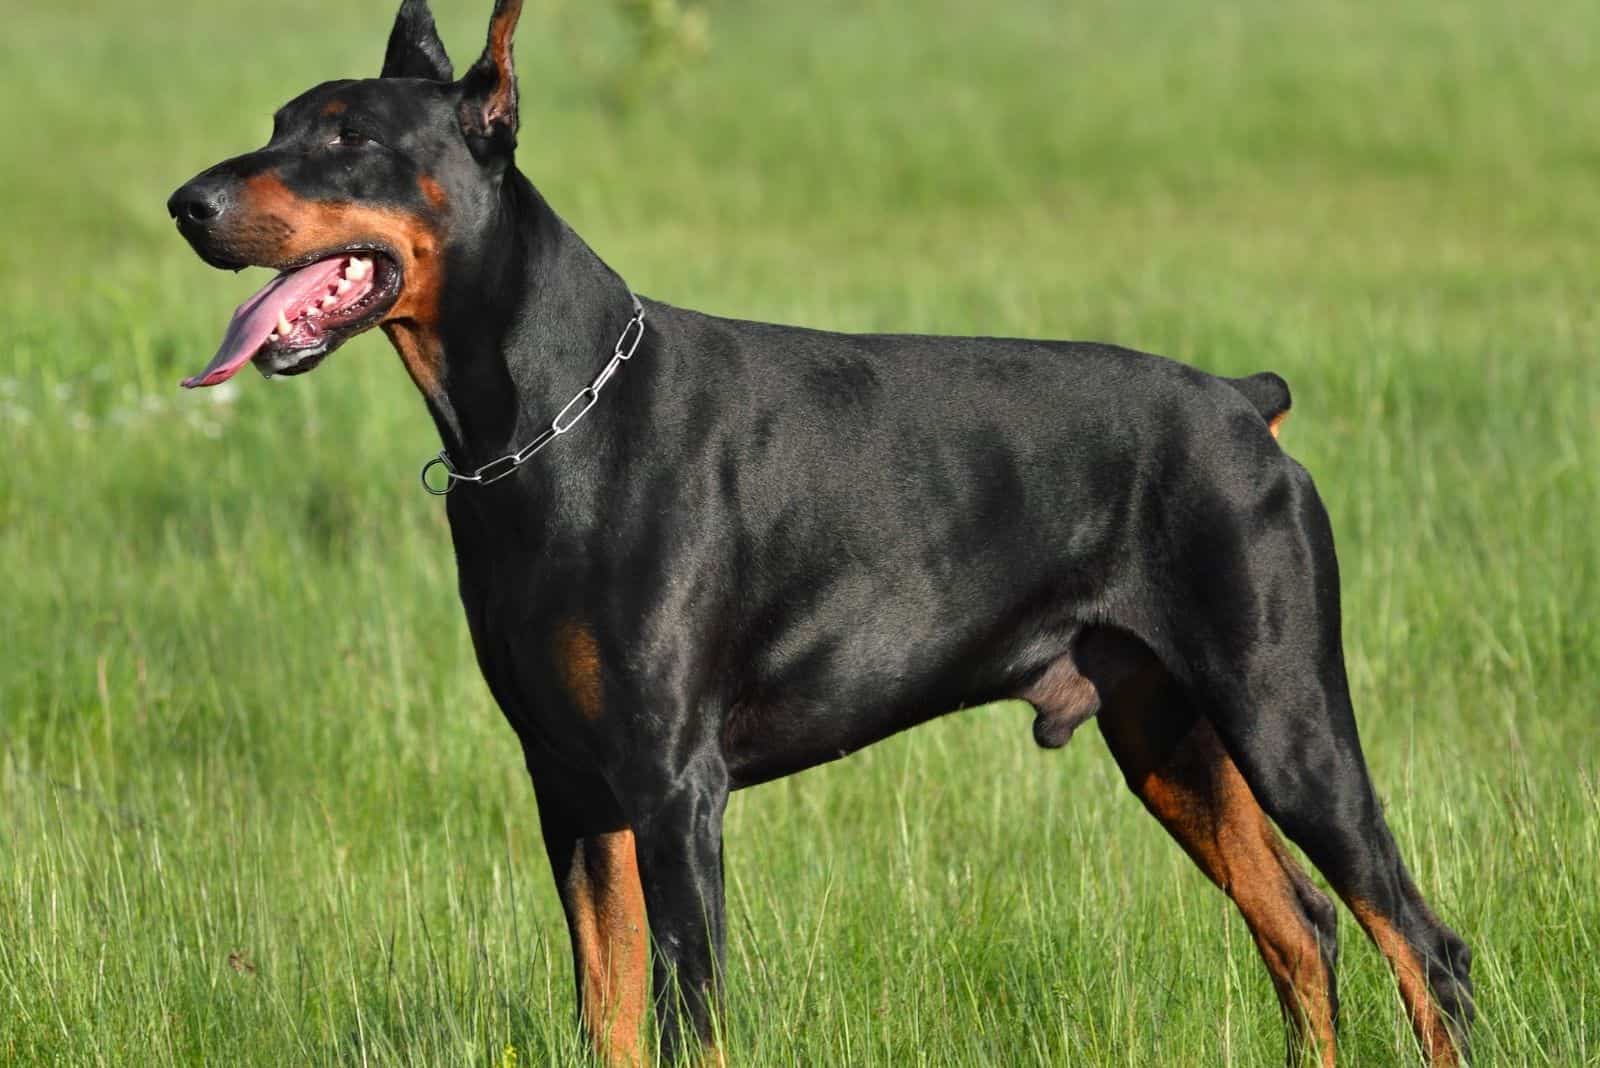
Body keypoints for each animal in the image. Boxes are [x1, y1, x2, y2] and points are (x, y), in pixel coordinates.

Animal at [168, 4, 1478, 1061]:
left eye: (350, 138)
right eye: (280, 121)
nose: (188, 204)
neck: (546, 419)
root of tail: (1246, 405)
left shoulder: (675, 788)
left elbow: (692, 1024)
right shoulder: (571, 786)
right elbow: (608, 1015)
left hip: (1283, 714)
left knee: (1424, 946)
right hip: (1167, 735)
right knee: (1304, 933)